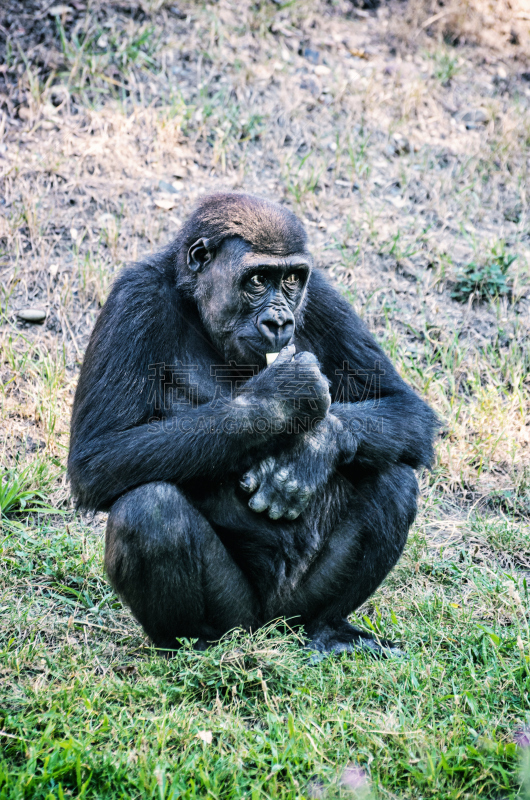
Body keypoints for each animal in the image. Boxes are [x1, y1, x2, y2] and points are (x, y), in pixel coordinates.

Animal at [68, 194, 436, 656]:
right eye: (258, 279)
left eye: (292, 280)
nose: (279, 322)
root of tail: (269, 627)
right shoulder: (133, 296)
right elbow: (98, 455)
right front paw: (280, 398)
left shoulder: (323, 296)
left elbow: (405, 406)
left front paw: (314, 447)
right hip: (239, 621)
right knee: (150, 508)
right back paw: (197, 646)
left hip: (294, 611)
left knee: (393, 478)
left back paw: (328, 628)